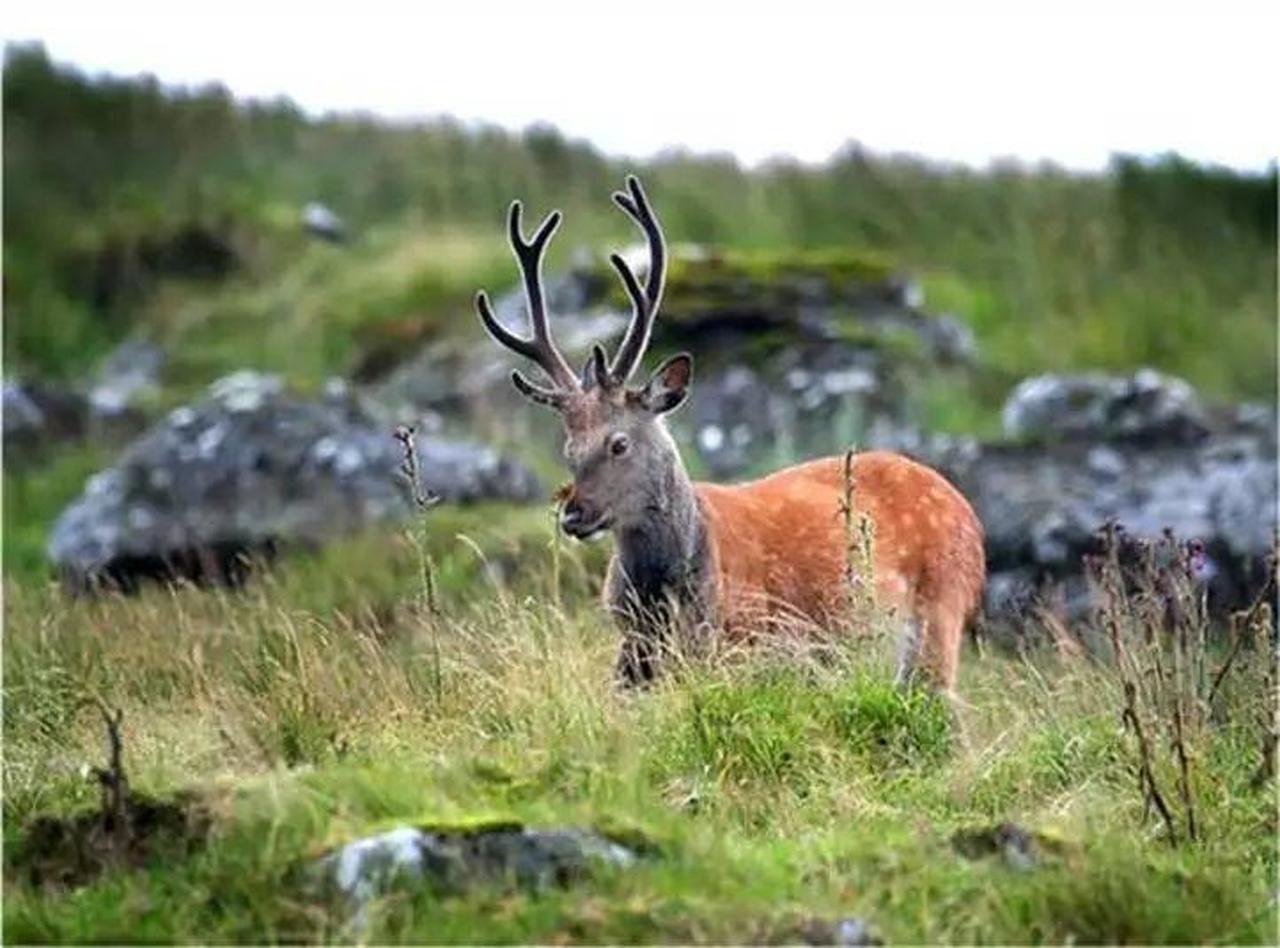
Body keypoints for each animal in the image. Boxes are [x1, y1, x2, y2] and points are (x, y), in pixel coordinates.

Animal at [476, 175, 983, 695]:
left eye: (618, 442)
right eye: (568, 448)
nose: (573, 515)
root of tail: (967, 511)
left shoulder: (745, 641)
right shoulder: (633, 652)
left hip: (941, 610)